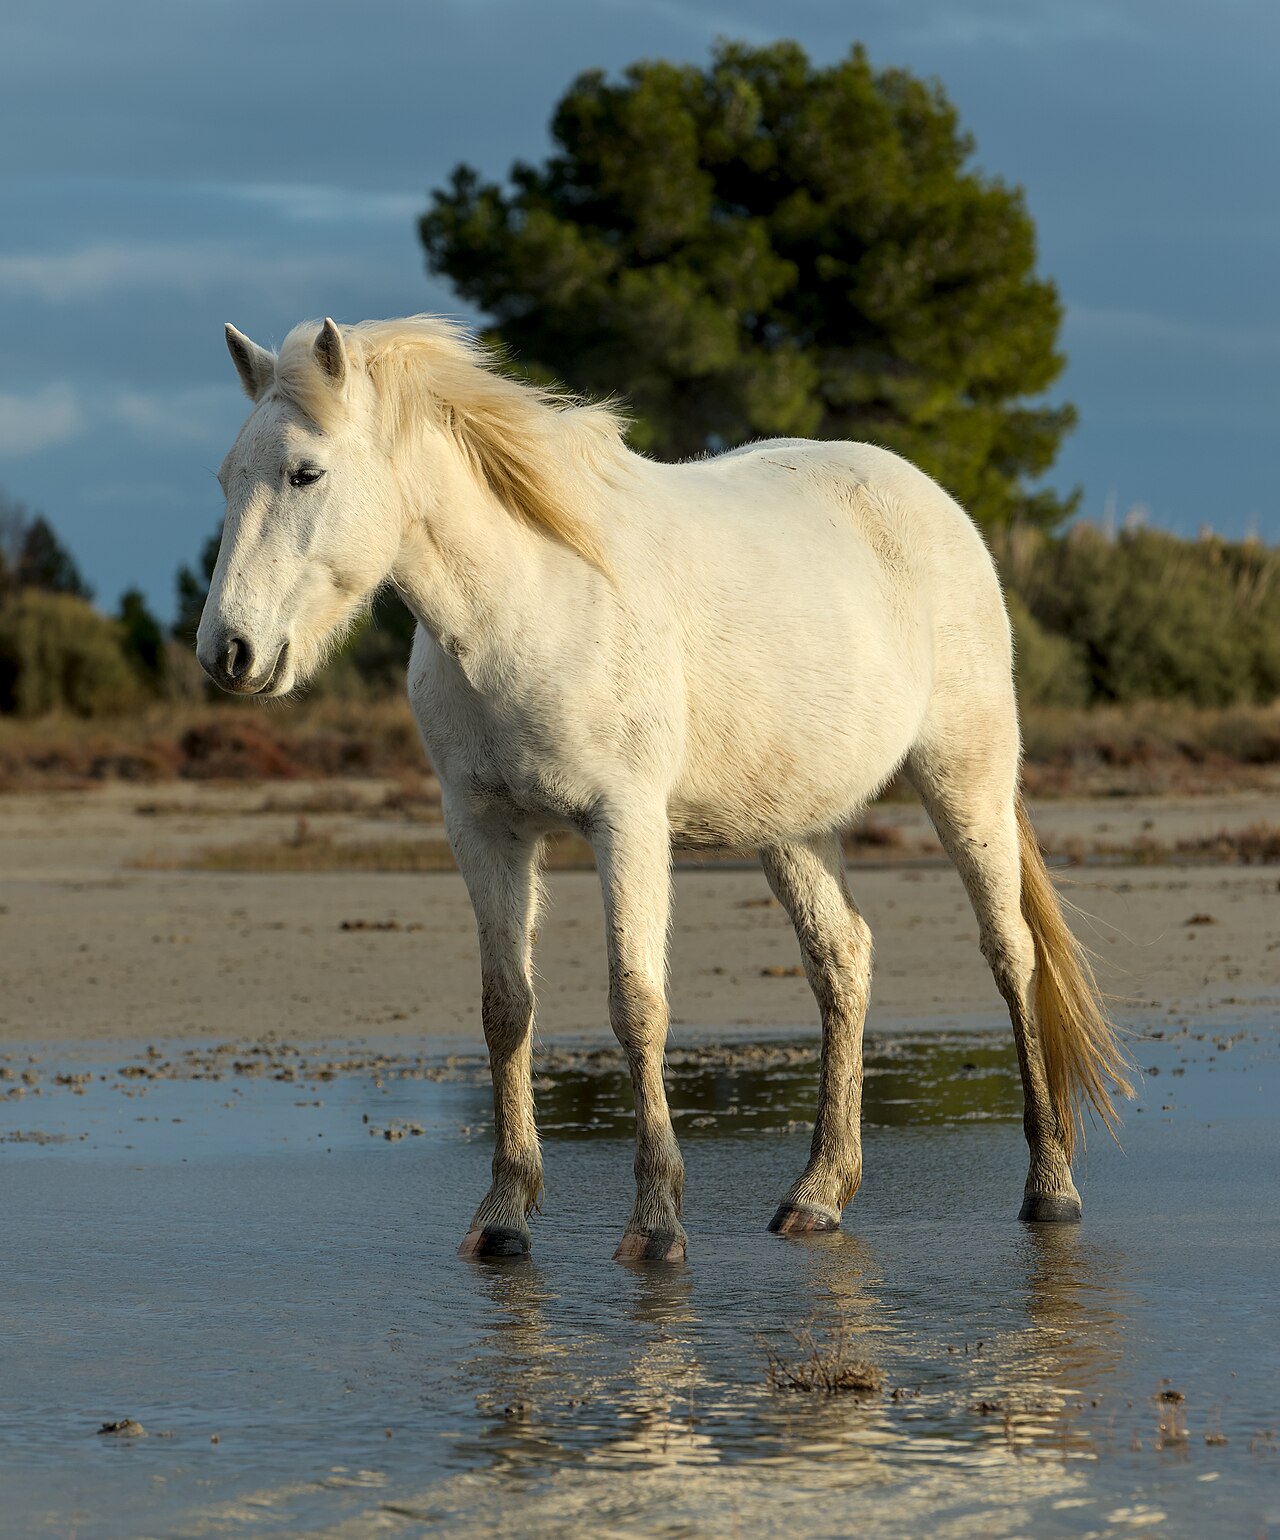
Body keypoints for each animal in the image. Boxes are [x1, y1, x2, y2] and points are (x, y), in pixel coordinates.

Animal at [199, 314, 1131, 1262]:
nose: (229, 654)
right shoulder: (484, 829)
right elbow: (506, 1009)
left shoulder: (627, 822)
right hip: (792, 825)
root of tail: (931, 501)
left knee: (1010, 954)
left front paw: (655, 1225)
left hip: (965, 775)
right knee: (843, 962)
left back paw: (1049, 1188)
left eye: (306, 473)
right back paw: (818, 1194)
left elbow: (636, 1006)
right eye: (228, 478)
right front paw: (503, 1215)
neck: (527, 606)